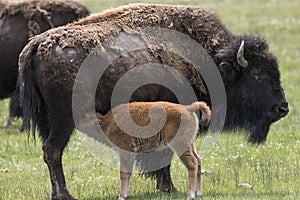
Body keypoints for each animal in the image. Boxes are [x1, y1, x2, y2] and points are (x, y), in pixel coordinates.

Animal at [81, 102, 210, 199]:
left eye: (88, 120)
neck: (108, 122)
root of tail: (188, 108)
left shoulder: (124, 152)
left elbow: (123, 173)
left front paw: (121, 196)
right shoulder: (131, 154)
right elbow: (129, 173)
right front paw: (127, 194)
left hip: (180, 145)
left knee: (192, 164)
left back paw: (190, 195)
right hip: (190, 144)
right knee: (198, 160)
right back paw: (198, 192)